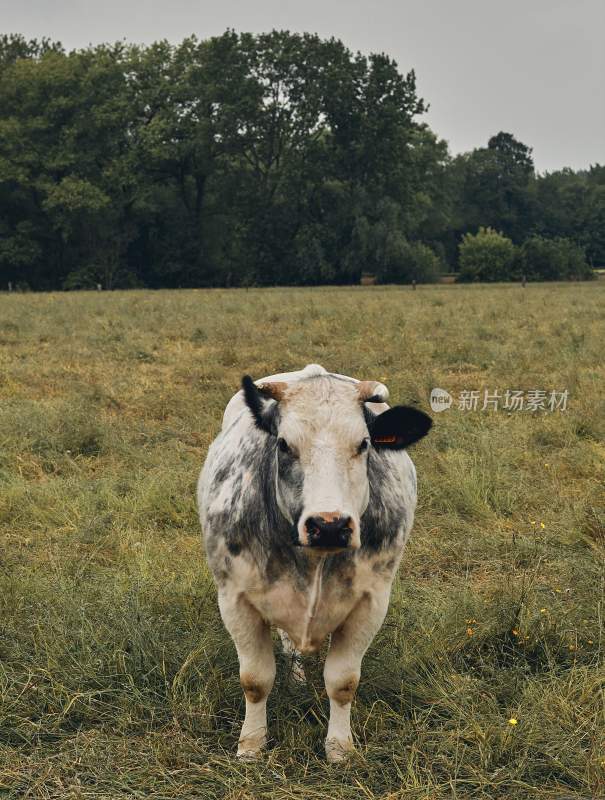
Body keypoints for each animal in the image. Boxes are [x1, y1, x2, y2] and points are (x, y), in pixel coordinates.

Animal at [197, 366, 430, 760]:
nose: (329, 525)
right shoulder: (235, 600)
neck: (314, 562)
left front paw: (339, 748)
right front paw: (251, 746)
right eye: (283, 444)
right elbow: (255, 680)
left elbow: (343, 682)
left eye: (363, 444)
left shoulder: (371, 603)